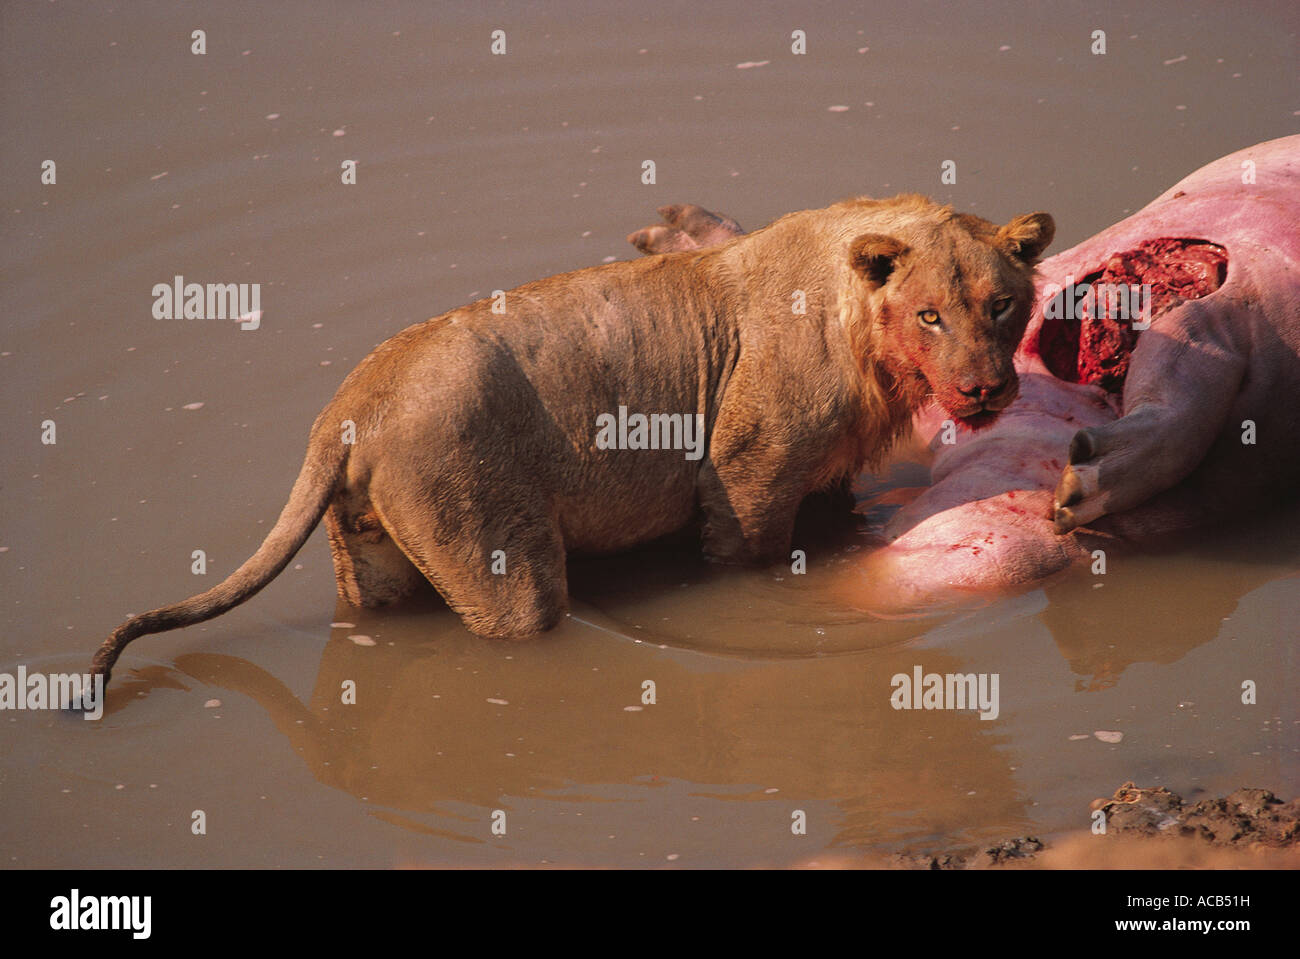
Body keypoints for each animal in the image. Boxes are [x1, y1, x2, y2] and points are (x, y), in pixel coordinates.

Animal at [91, 194, 1050, 686]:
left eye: (1002, 304)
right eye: (930, 315)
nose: (985, 387)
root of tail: (347, 407)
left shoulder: (826, 480)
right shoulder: (748, 473)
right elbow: (745, 555)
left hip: (369, 559)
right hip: (497, 549)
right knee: (518, 616)